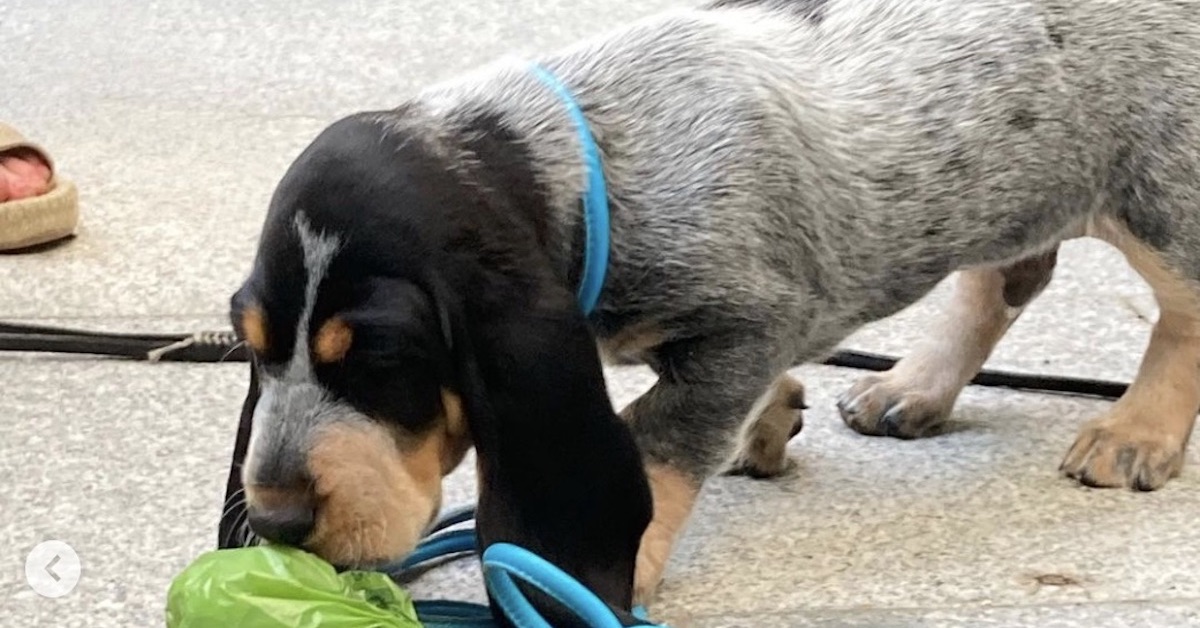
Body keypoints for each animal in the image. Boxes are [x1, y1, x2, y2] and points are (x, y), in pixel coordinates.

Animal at [229, 0, 1200, 619]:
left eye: (381, 360)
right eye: (254, 346)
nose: (273, 524)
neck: (583, 163)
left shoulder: (749, 321)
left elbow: (659, 438)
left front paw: (615, 573)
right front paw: (768, 424)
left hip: (1161, 190)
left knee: (1181, 307)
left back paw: (1135, 431)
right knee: (1007, 273)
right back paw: (914, 386)